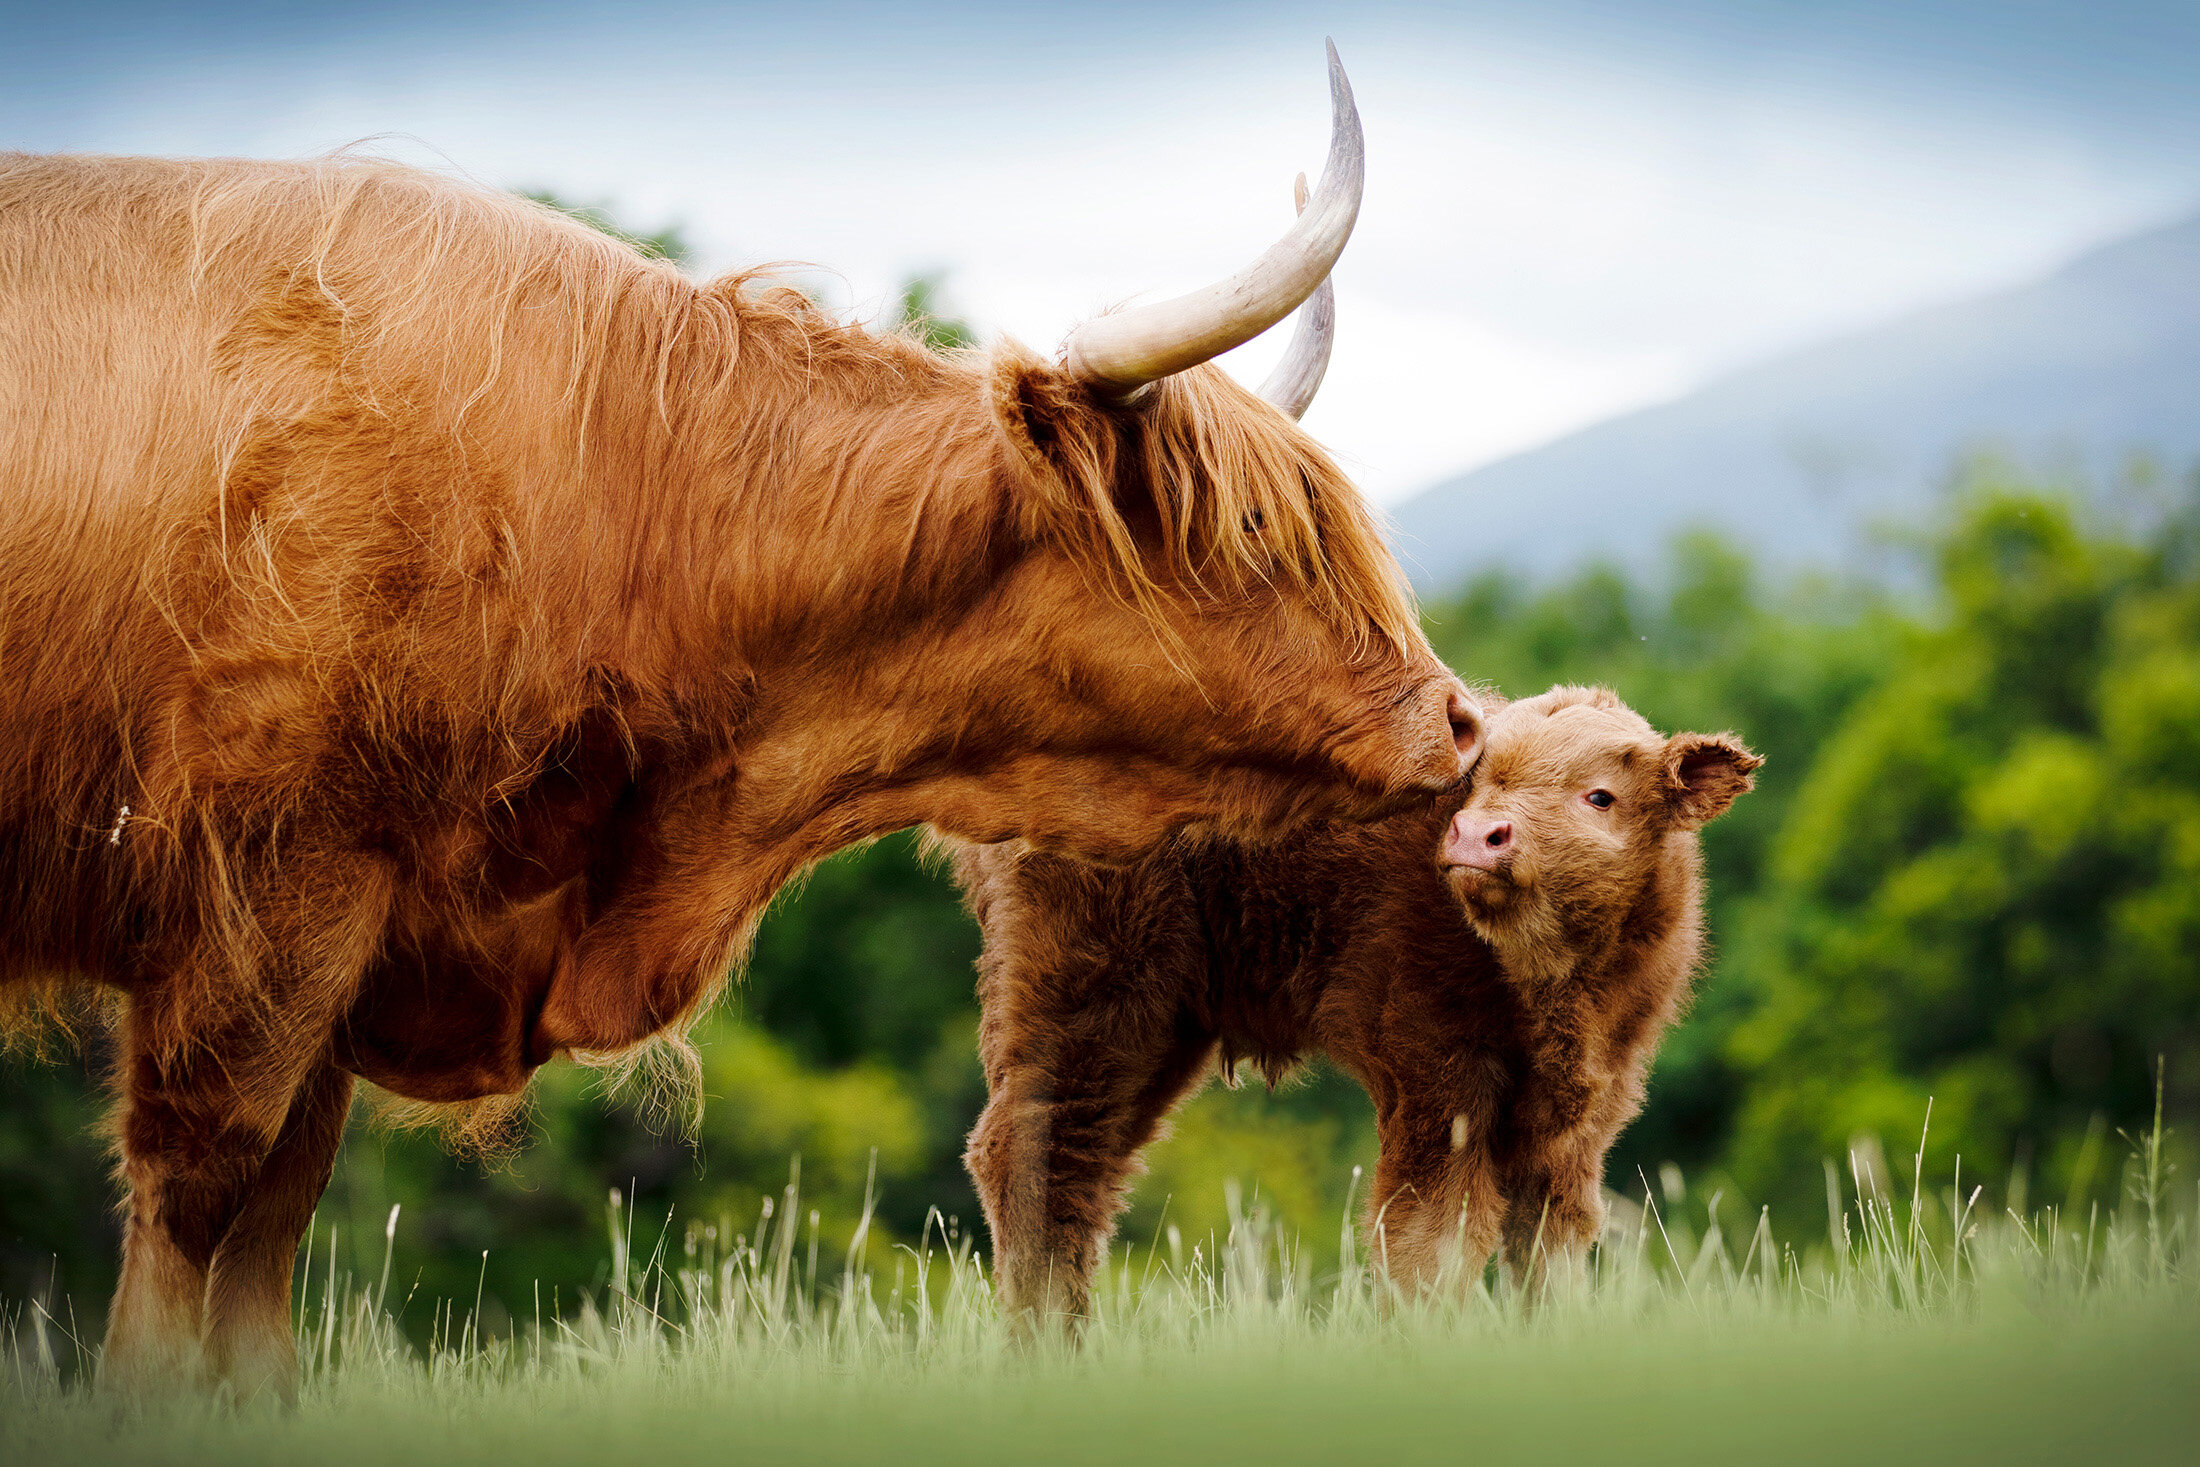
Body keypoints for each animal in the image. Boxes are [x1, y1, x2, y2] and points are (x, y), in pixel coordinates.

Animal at [4, 45, 1478, 1398]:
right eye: (1255, 530)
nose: (1459, 722)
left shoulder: (344, 941)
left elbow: (268, 1243)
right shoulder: (273, 881)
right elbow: (204, 1194)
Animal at [954, 681, 1760, 1328]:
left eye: (1600, 795)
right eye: (1477, 783)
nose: (1477, 835)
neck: (1555, 987)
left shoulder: (1582, 1114)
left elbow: (1549, 1246)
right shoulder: (1437, 1073)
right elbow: (1429, 1237)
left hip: (1156, 1021)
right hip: (1089, 982)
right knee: (1035, 1152)